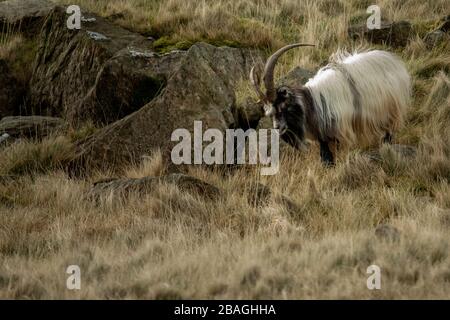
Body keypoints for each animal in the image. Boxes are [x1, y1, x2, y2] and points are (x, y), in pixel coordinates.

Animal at [250, 43, 412, 165]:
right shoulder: (322, 136)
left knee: (389, 132)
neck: (311, 104)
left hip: (391, 109)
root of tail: (393, 60)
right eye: (269, 113)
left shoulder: (339, 131)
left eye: (284, 106)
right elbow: (325, 155)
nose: (278, 128)